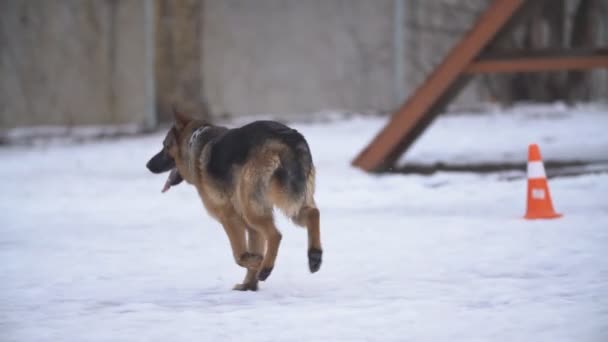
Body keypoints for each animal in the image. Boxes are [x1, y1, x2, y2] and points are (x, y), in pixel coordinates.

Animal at [147, 110, 320, 292]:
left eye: (165, 146)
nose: (148, 165)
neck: (193, 143)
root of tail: (287, 137)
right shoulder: (250, 228)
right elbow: (253, 251)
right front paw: (249, 285)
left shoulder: (229, 218)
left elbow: (240, 256)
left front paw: (257, 263)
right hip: (287, 199)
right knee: (313, 213)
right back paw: (314, 255)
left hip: (254, 209)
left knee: (275, 234)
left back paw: (266, 267)